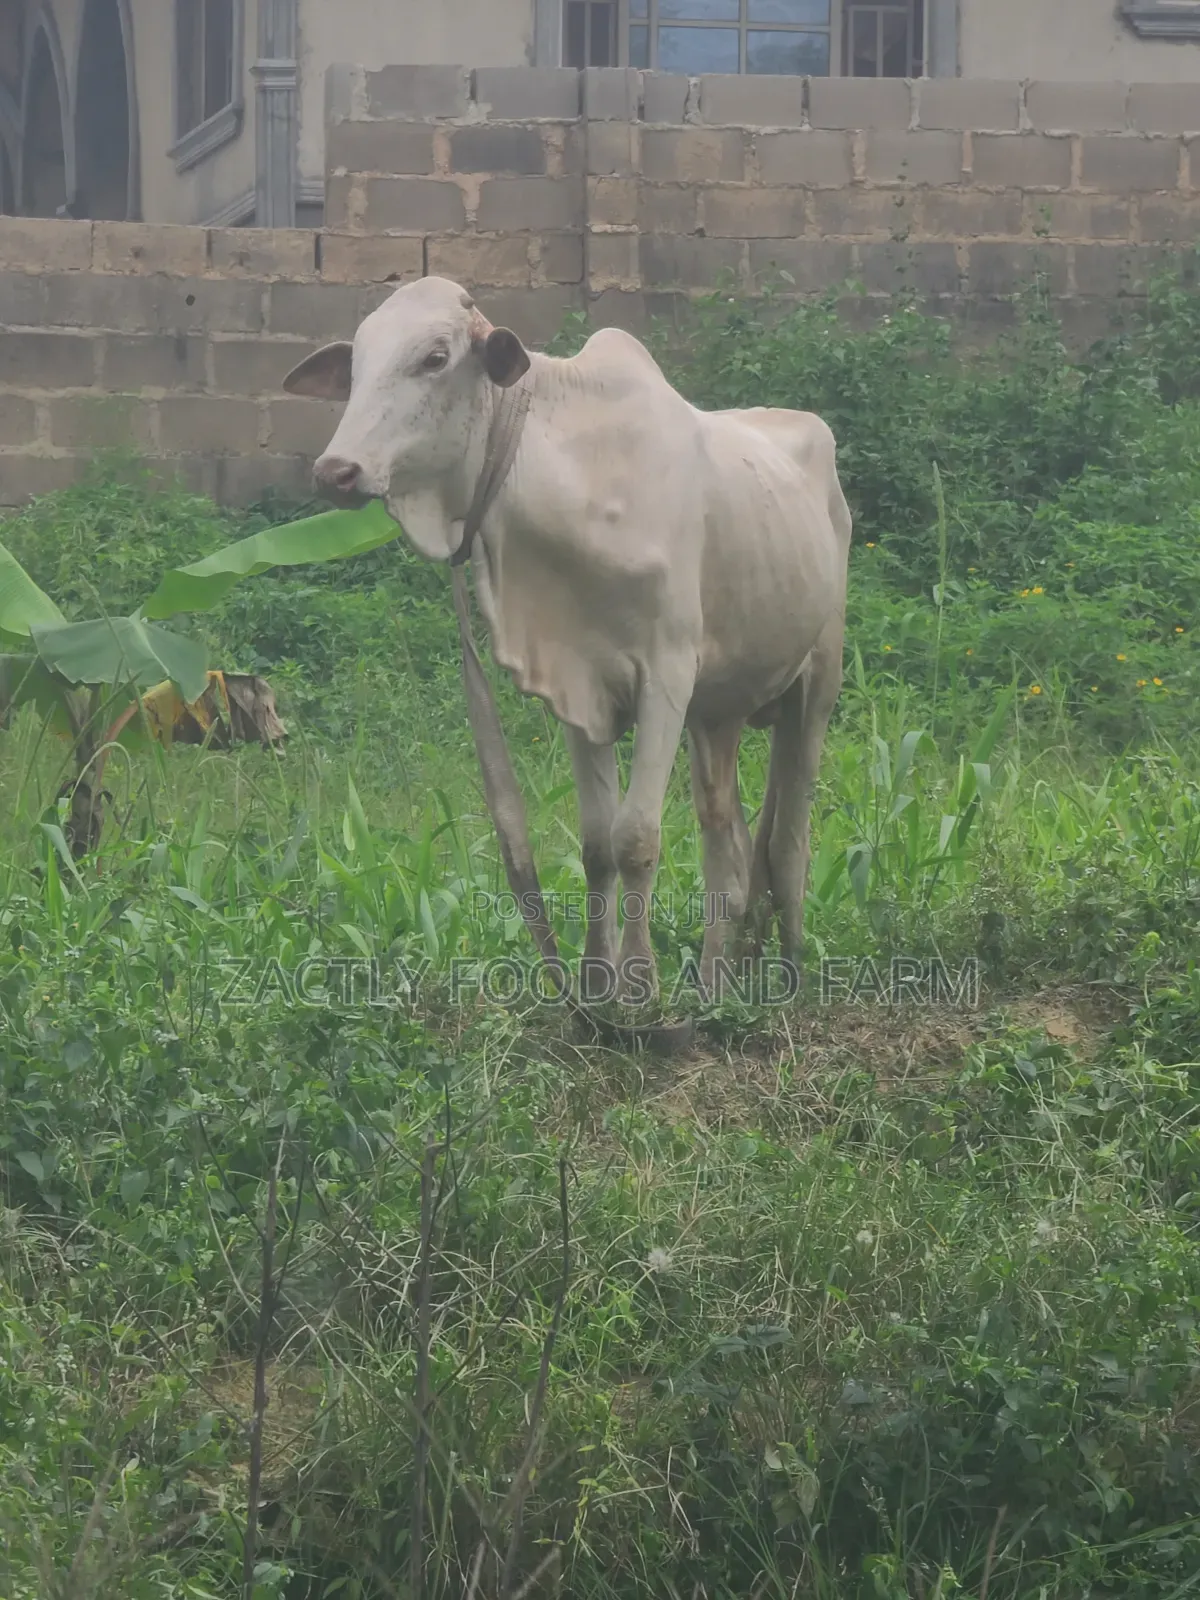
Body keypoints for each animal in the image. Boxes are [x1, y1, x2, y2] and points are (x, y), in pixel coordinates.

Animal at [283, 275, 852, 1005]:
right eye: (355, 364)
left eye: (435, 358)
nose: (337, 471)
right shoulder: (578, 683)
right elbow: (597, 846)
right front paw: (597, 988)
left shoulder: (666, 676)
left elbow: (636, 838)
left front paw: (640, 990)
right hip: (717, 713)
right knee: (726, 844)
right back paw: (715, 987)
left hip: (818, 682)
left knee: (787, 841)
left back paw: (790, 972)